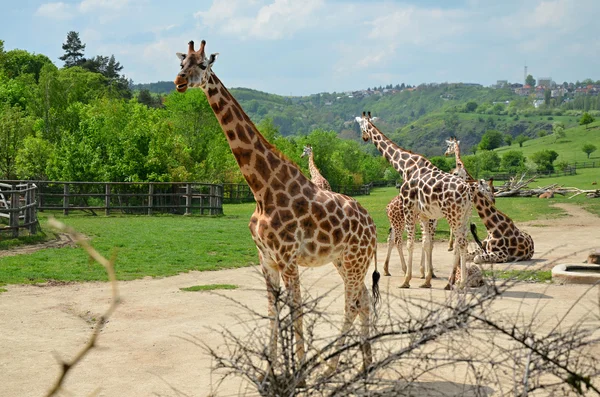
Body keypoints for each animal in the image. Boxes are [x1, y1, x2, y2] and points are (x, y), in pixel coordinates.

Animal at [356, 111, 474, 288]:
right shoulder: (425, 215)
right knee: (462, 243)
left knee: (460, 243)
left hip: (453, 216)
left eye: (360, 126)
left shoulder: (409, 209)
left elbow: (411, 244)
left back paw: (460, 283)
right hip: (464, 216)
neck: (405, 167)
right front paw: (426, 279)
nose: (363, 137)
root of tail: (467, 192)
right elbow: (426, 244)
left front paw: (407, 280)